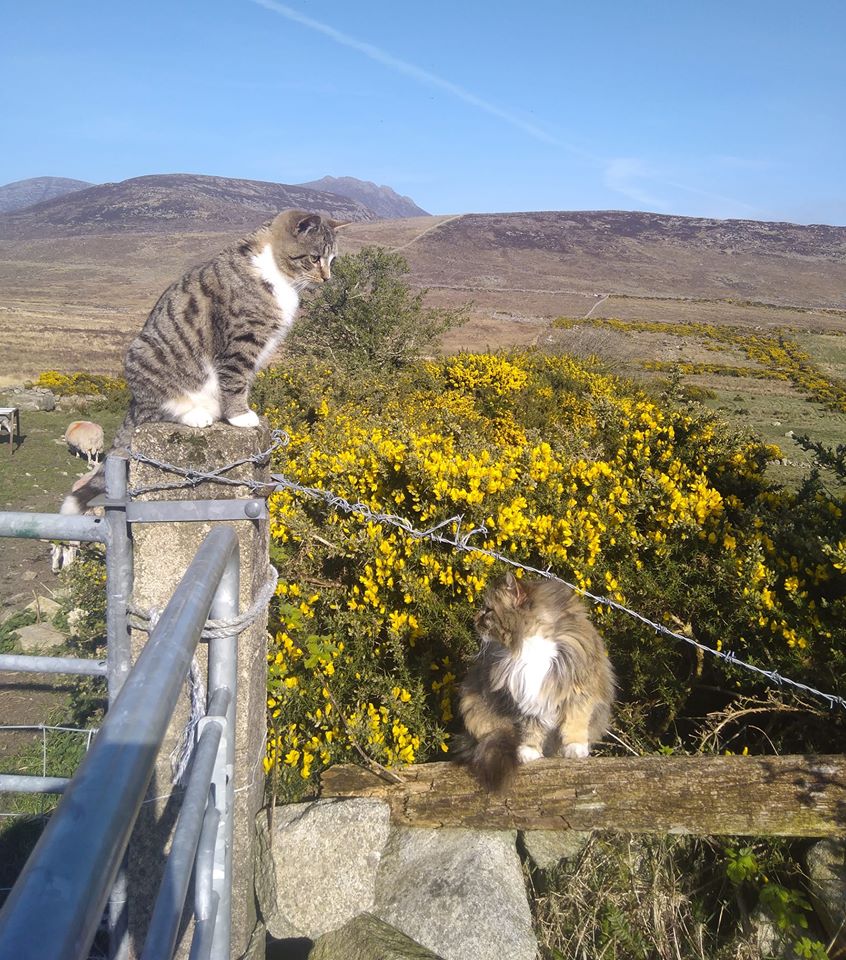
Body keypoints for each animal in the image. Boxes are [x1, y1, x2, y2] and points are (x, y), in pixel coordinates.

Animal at [62, 206, 344, 512]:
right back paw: (195, 414)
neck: (276, 272)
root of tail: (134, 402)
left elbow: (243, 381)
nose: (327, 278)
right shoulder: (241, 340)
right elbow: (235, 379)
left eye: (332, 260)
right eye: (314, 258)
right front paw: (240, 416)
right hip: (146, 358)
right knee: (155, 410)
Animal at [458, 572, 616, 792]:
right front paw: (529, 752)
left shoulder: (577, 691)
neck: (530, 645)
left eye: (488, 610)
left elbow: (575, 722)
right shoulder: (525, 698)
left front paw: (575, 748)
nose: (474, 619)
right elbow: (530, 728)